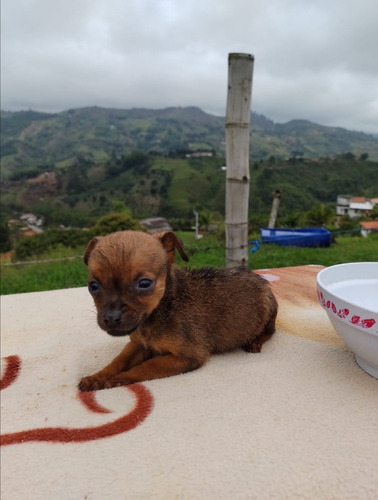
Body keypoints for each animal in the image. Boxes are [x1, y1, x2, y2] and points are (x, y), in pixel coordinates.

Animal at [78, 230, 278, 390]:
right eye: (93, 286)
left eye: (144, 284)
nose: (111, 318)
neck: (157, 312)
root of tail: (258, 277)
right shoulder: (138, 344)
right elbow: (118, 361)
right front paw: (97, 377)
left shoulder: (188, 356)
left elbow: (146, 367)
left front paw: (117, 379)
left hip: (269, 309)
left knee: (270, 331)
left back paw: (255, 342)